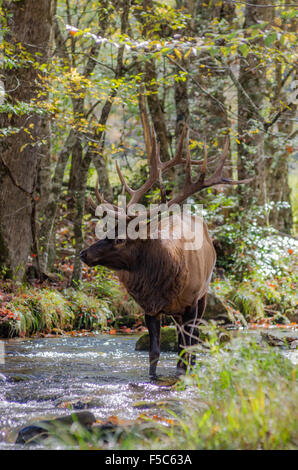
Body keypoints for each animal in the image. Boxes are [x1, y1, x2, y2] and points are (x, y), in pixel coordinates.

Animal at [79, 126, 251, 376]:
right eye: (108, 230)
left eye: (120, 238)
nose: (84, 253)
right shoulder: (149, 307)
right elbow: (155, 352)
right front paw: (154, 375)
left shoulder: (192, 301)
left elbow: (189, 344)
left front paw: (185, 371)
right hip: (177, 311)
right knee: (180, 337)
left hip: (204, 294)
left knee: (192, 337)